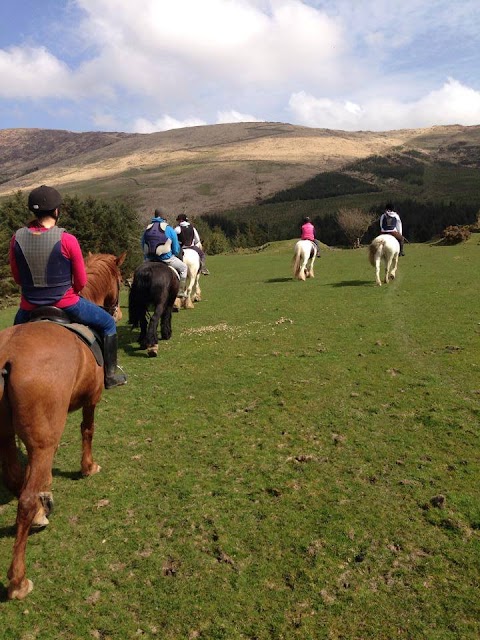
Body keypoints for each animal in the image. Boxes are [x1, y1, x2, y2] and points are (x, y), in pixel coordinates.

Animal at [0, 250, 125, 600]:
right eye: (121, 278)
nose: (116, 310)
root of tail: (7, 356)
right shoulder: (92, 399)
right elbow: (88, 431)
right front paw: (88, 467)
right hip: (43, 441)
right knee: (25, 498)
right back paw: (18, 580)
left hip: (5, 436)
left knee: (14, 479)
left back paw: (41, 512)